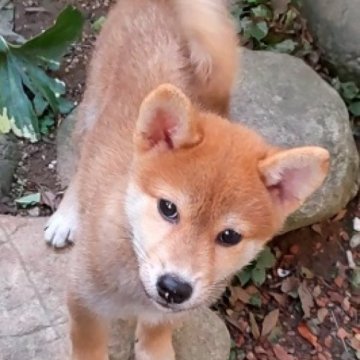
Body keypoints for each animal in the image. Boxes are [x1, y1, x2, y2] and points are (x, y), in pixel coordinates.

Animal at [44, 0, 330, 360]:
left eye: (229, 236)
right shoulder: (84, 301)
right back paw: (66, 218)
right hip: (92, 106)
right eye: (168, 208)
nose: (174, 288)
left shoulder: (165, 314)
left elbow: (155, 336)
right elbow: (88, 346)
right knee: (81, 160)